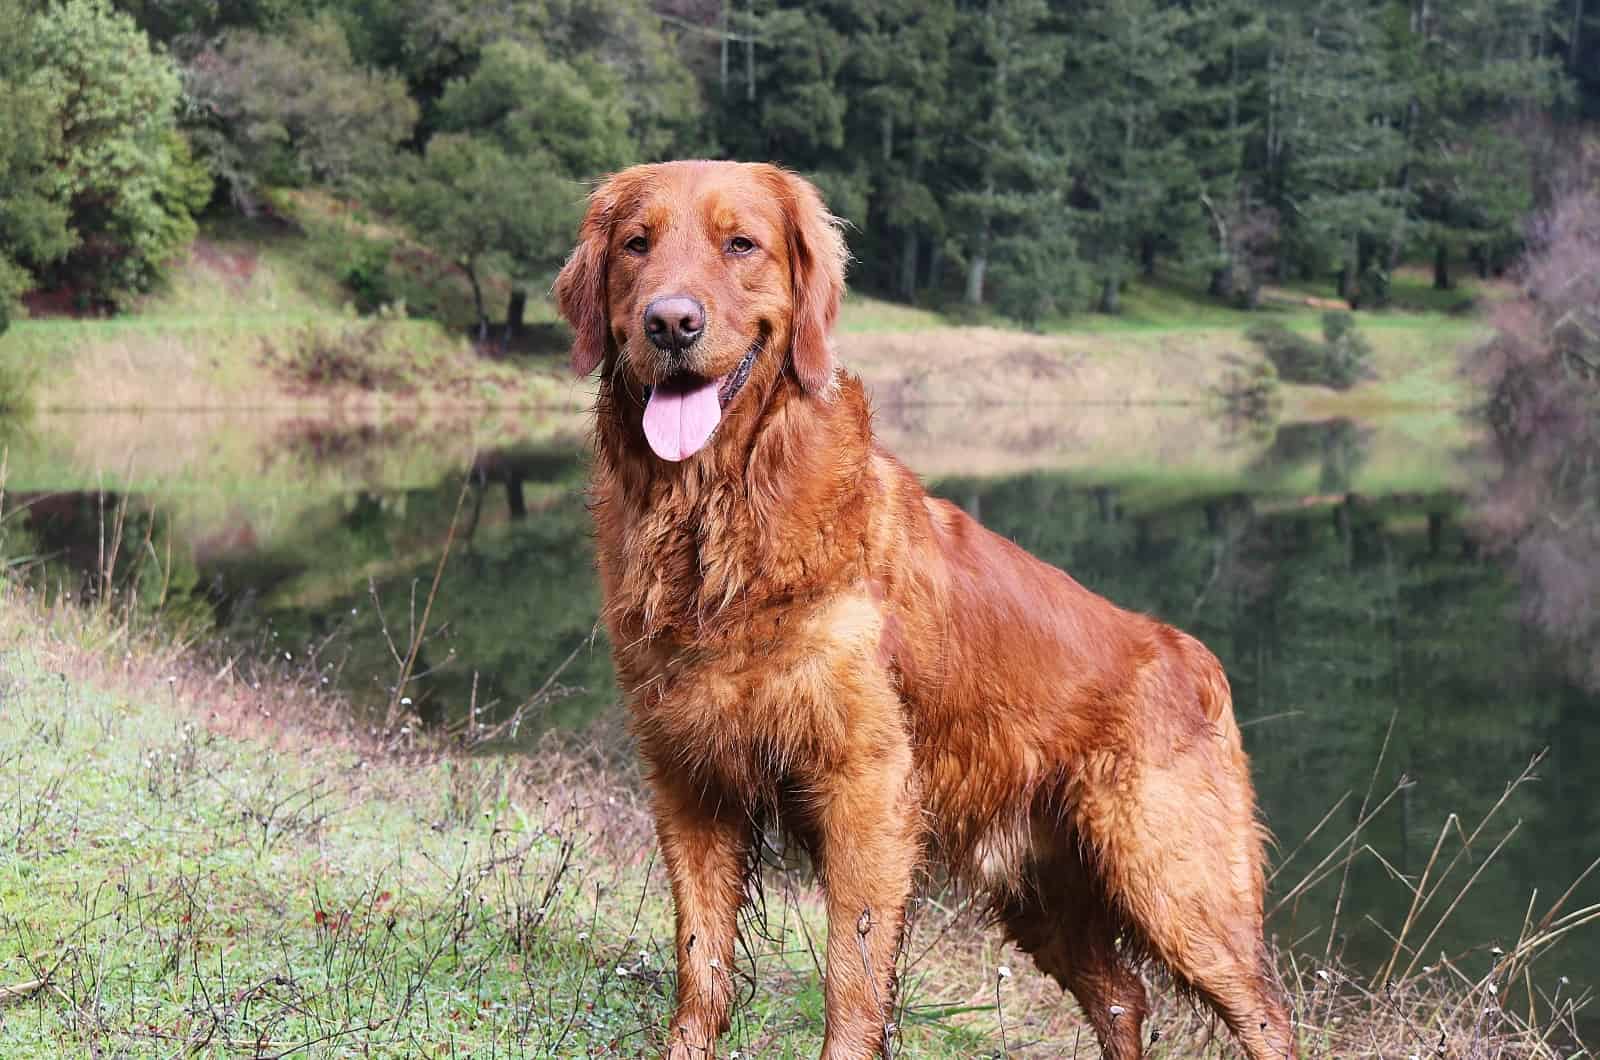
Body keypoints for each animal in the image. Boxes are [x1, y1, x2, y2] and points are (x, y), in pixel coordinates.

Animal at [556, 160, 1292, 1060]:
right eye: (636, 244)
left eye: (742, 244)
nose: (670, 324)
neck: (719, 517)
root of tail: (1194, 654)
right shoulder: (690, 781)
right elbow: (701, 965)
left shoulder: (865, 786)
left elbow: (851, 975)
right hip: (1048, 896)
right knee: (1123, 995)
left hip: (1176, 884)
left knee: (1265, 1014)